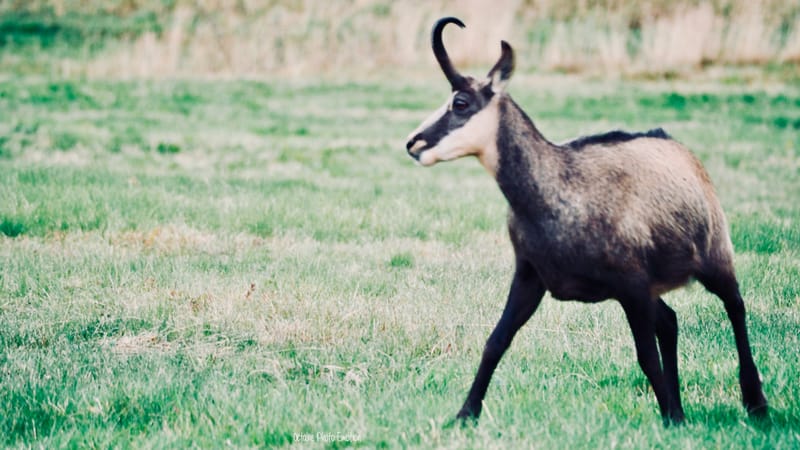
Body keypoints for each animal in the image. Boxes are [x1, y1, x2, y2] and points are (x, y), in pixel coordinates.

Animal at [405, 17, 768, 425]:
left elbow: (646, 357)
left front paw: (670, 418)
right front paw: (465, 415)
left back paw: (755, 403)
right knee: (670, 320)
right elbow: (496, 341)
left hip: (714, 256)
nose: (413, 143)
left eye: (461, 102)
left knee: (735, 306)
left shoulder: (630, 284)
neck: (558, 189)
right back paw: (680, 408)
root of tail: (680, 150)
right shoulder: (531, 275)